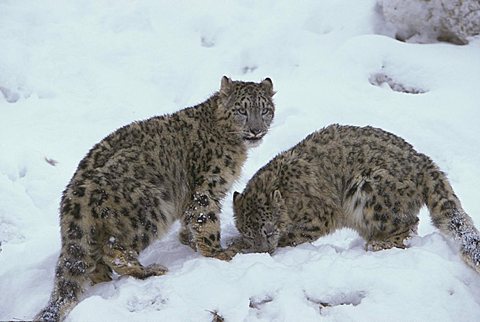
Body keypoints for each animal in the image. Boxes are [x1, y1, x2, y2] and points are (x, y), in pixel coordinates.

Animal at [35, 76, 276, 320]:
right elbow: (205, 219)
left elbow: (190, 220)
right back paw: (149, 270)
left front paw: (189, 241)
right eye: (241, 110)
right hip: (150, 209)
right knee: (114, 250)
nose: (256, 130)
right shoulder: (207, 186)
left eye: (265, 110)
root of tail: (73, 194)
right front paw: (220, 253)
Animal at [231, 123, 478, 274]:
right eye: (249, 232)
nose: (263, 250)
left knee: (409, 224)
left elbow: (291, 236)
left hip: (369, 193)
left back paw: (380, 243)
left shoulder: (318, 217)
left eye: (269, 230)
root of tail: (423, 160)